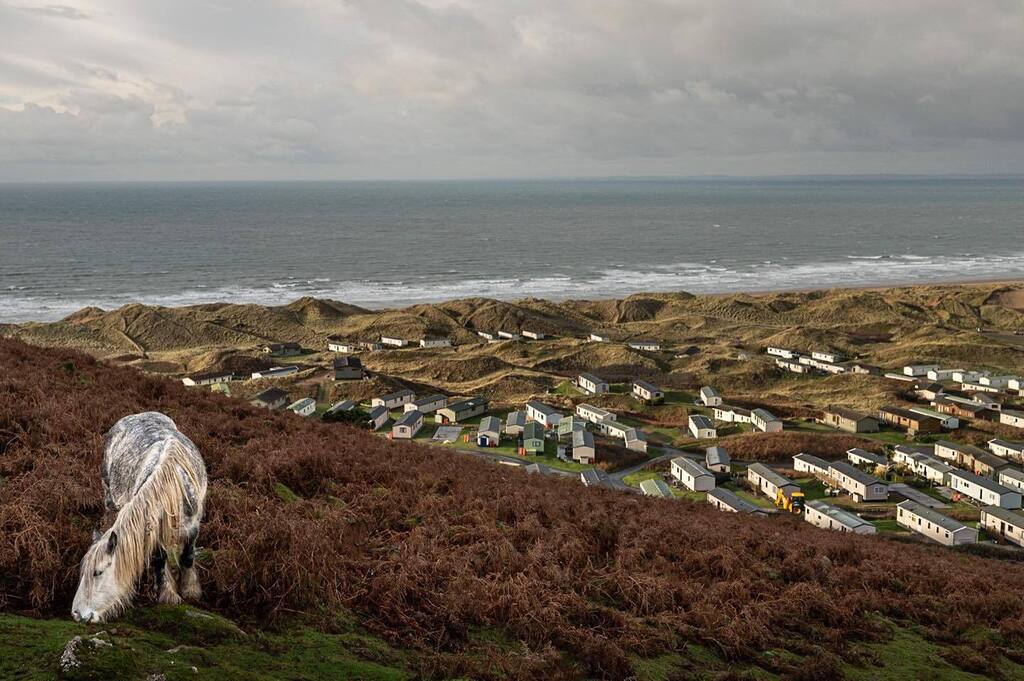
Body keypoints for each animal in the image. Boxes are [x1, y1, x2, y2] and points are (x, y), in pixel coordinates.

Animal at [72, 412, 208, 623]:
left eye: (97, 572)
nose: (77, 614)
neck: (172, 488)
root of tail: (136, 415)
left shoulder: (193, 527)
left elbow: (188, 556)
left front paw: (190, 591)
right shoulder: (156, 533)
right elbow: (160, 560)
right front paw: (167, 593)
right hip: (109, 498)